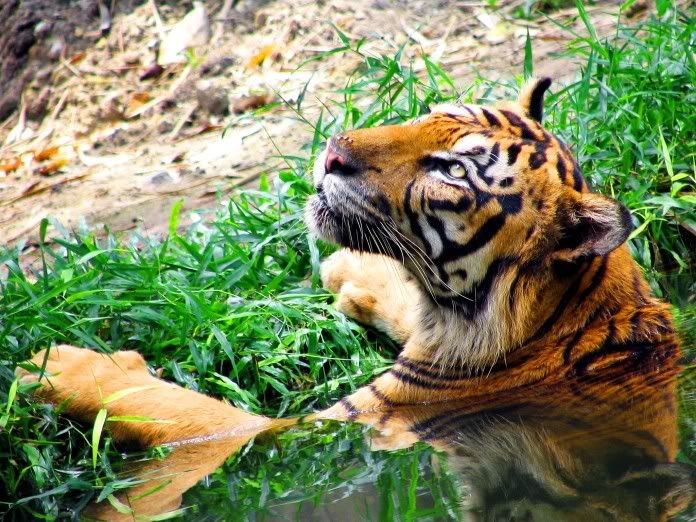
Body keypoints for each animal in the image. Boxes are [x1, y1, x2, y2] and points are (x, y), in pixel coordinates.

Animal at [14, 78, 692, 520]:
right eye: (428, 113)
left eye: (452, 170)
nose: (332, 151)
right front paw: (350, 269)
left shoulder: (323, 425)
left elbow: (192, 415)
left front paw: (58, 366)